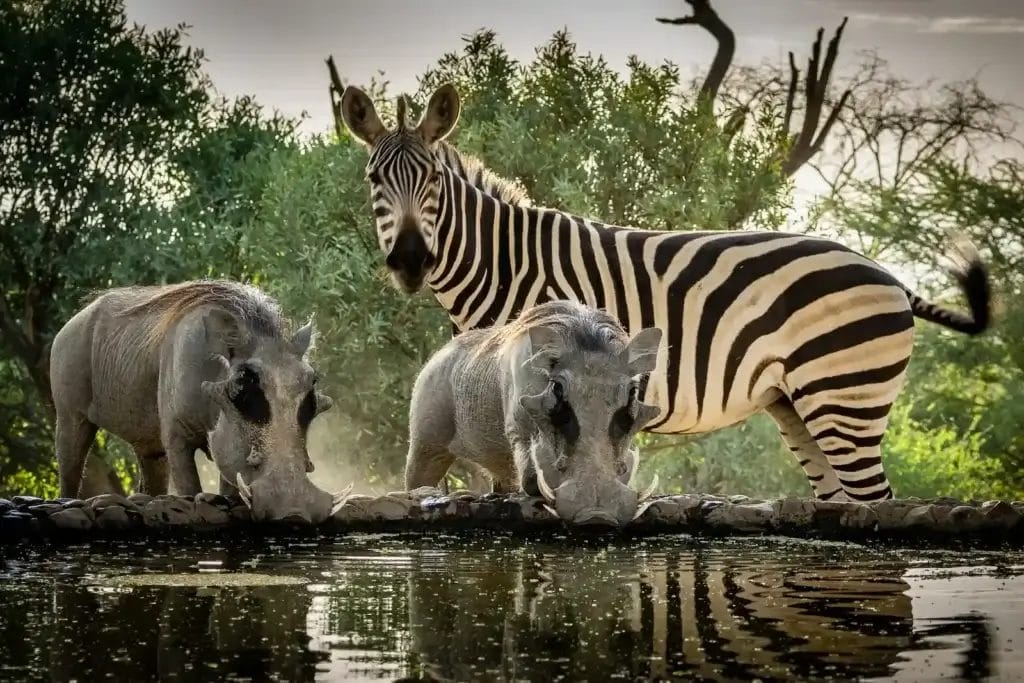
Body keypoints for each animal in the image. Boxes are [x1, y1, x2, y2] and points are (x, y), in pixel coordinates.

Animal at [338, 83, 990, 502]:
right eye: (374, 179)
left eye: (431, 180)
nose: (410, 261)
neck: (504, 265)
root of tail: (890, 276)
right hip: (800, 404)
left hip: (844, 396)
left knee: (875, 501)